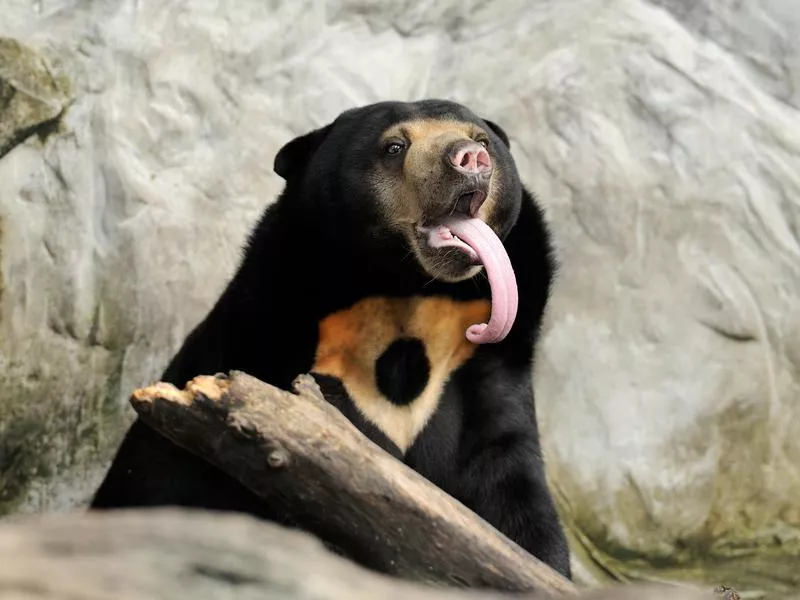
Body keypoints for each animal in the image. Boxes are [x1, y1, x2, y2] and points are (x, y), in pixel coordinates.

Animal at [90, 98, 572, 580]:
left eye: (482, 139)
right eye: (395, 146)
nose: (470, 158)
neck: (406, 290)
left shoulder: (484, 357)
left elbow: (507, 478)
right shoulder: (283, 340)